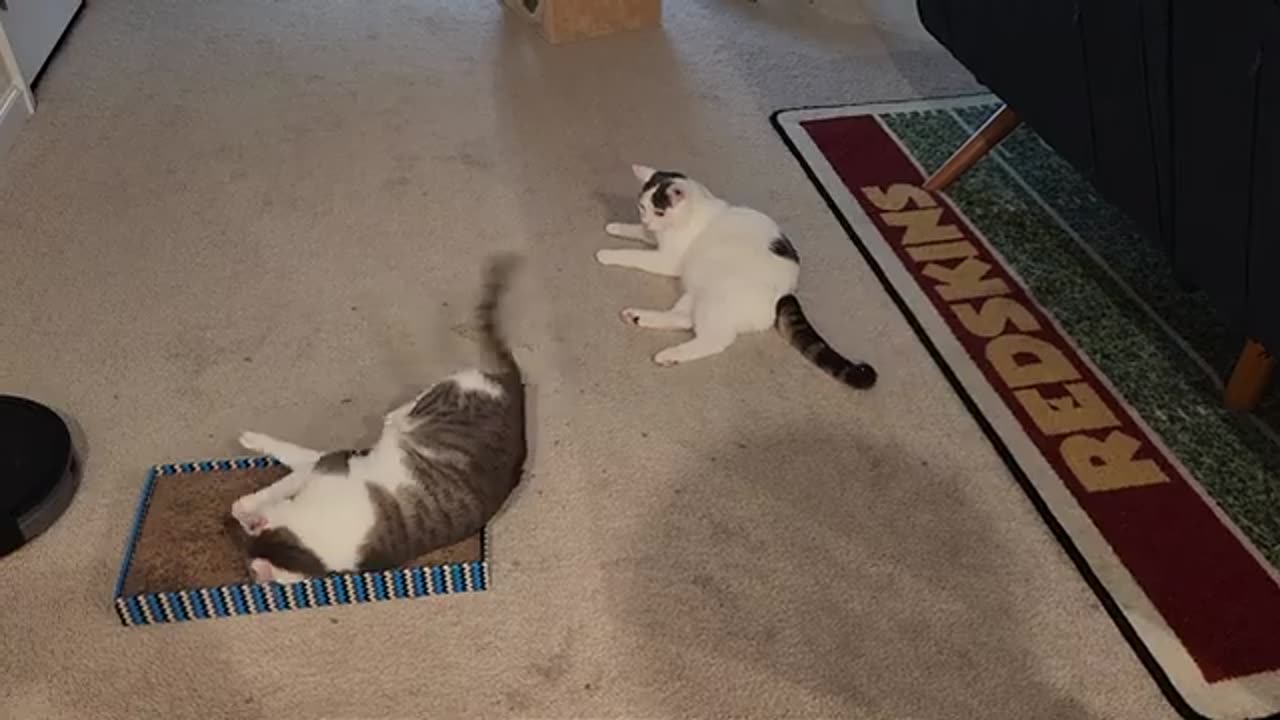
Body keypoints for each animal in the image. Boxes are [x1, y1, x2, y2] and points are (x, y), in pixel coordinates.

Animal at [227, 254, 527, 579]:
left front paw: (245, 497)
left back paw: (393, 419)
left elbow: (295, 463)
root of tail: (516, 390)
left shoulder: (333, 463)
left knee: (410, 406)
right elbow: (296, 471)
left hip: (452, 389)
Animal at [593, 163, 875, 386]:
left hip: (716, 295)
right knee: (683, 319)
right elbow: (637, 233)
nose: (648, 221)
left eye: (660, 212)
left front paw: (607, 253)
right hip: (698, 289)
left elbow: (634, 255)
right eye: (642, 208)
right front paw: (617, 226)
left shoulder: (668, 260)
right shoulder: (655, 238)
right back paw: (638, 316)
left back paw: (670, 354)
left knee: (714, 339)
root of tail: (786, 293)